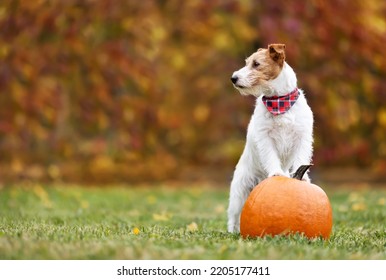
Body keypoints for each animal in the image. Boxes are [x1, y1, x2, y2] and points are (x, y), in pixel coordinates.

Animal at [226, 43, 314, 232]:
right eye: (247, 62)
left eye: (256, 64)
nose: (233, 78)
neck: (279, 101)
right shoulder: (265, 138)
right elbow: (271, 157)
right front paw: (276, 173)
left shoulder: (302, 137)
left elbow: (301, 158)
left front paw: (302, 178)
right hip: (239, 192)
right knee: (233, 217)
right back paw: (232, 232)